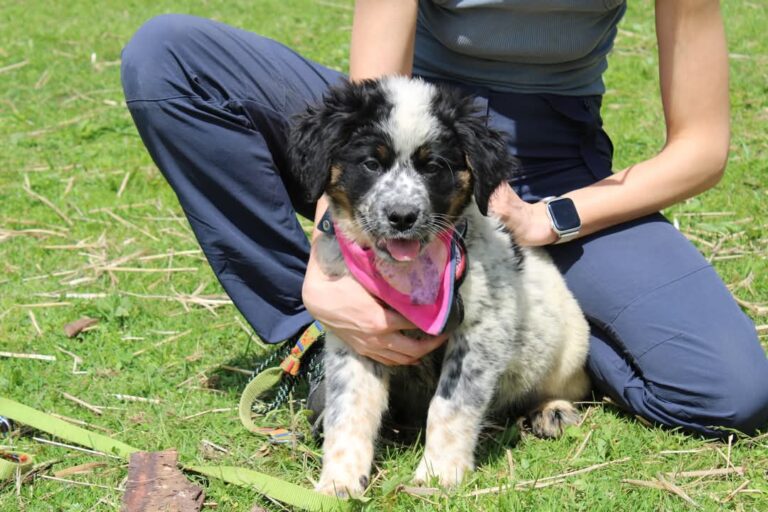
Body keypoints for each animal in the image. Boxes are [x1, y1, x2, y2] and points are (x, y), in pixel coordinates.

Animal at [288, 76, 590, 496]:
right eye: (371, 163)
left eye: (433, 167)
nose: (401, 217)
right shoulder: (356, 333)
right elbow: (348, 408)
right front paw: (340, 479)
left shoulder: (482, 329)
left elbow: (451, 404)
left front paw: (439, 473)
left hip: (569, 344)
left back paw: (552, 410)